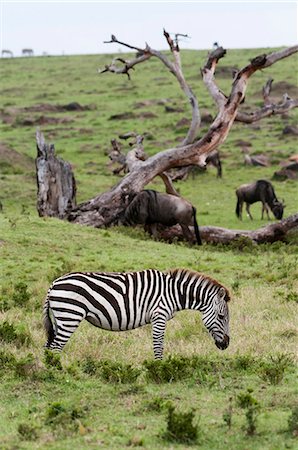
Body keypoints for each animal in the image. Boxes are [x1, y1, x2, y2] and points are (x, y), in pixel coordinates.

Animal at [43, 268, 230, 358]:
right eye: (221, 317)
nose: (226, 344)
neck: (174, 292)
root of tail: (54, 283)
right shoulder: (159, 315)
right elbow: (158, 345)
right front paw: (159, 368)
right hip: (70, 316)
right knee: (55, 347)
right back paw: (57, 373)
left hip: (61, 319)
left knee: (49, 347)